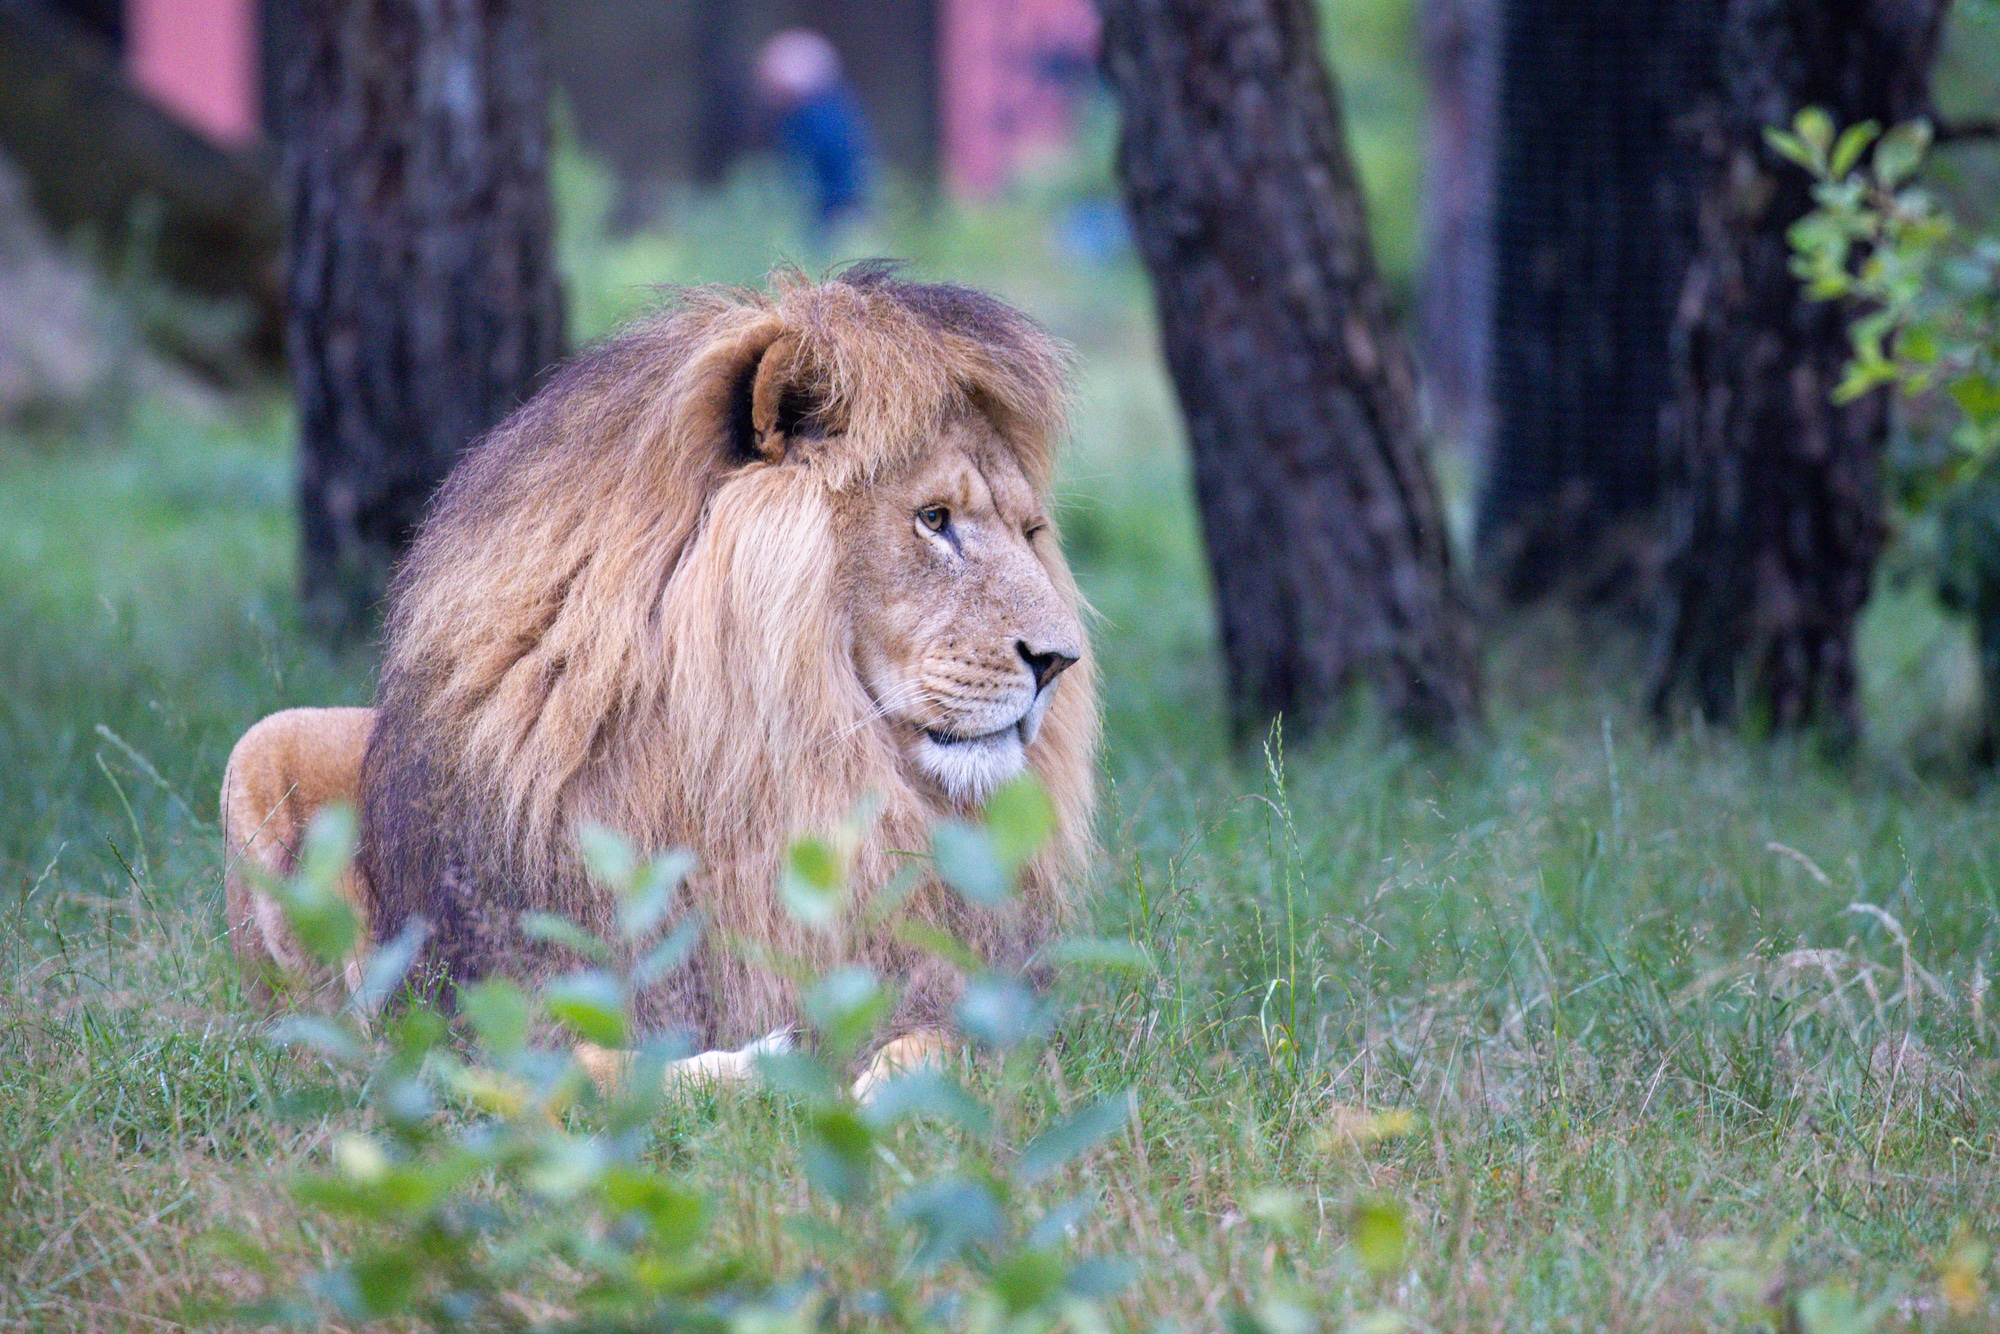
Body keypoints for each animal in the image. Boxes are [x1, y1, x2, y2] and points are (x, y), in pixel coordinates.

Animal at [227, 266, 1104, 1088]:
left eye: (1032, 532)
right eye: (933, 520)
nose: (1058, 661)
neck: (784, 767)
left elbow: (945, 1045)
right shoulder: (473, 1020)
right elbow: (608, 1064)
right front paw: (762, 1063)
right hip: (263, 744)